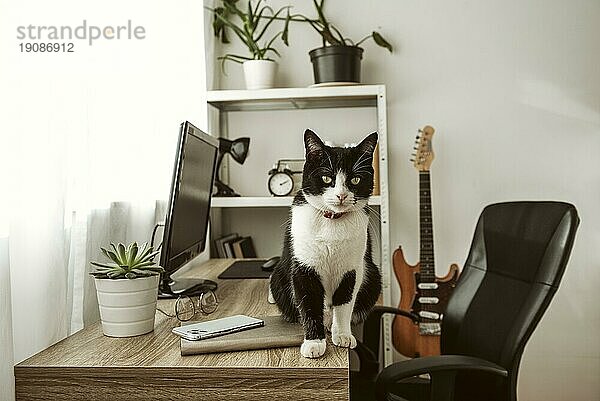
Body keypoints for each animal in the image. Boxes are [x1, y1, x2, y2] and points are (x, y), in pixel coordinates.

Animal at [270, 130, 382, 358]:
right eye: (326, 178)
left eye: (355, 179)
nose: (341, 195)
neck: (332, 221)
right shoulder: (304, 268)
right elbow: (309, 303)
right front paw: (314, 342)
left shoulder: (352, 269)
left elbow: (345, 303)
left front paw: (343, 335)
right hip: (277, 278)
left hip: (374, 277)